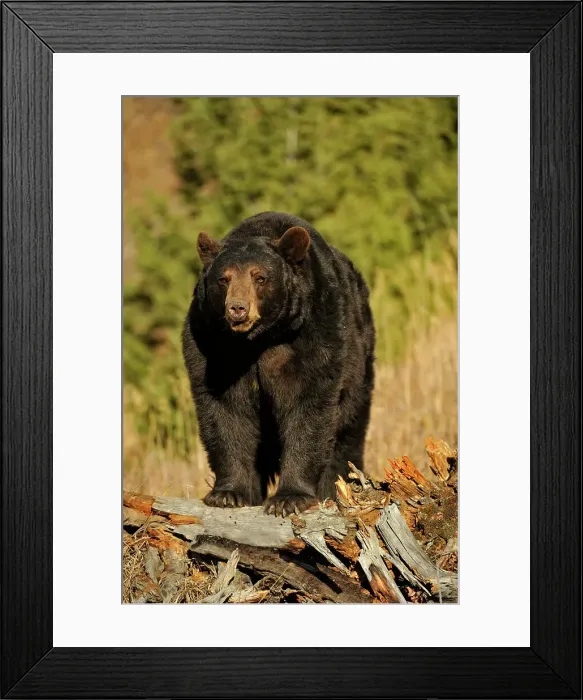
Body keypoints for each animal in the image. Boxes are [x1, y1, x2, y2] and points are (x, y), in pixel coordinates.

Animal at [182, 211, 375, 517]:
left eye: (260, 276)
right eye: (223, 279)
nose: (237, 308)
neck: (259, 339)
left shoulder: (313, 337)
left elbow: (307, 408)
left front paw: (289, 498)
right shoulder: (213, 347)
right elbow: (225, 412)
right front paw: (227, 494)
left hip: (359, 365)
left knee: (348, 432)